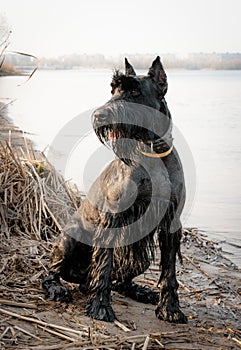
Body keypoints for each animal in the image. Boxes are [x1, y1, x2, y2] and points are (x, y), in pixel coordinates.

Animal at [42, 56, 187, 322]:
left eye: (134, 91)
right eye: (113, 90)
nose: (99, 115)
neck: (150, 150)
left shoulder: (171, 222)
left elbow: (169, 273)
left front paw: (171, 308)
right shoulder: (112, 218)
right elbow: (103, 268)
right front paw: (100, 307)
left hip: (139, 258)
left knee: (119, 280)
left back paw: (140, 291)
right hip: (69, 240)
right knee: (51, 272)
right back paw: (58, 288)